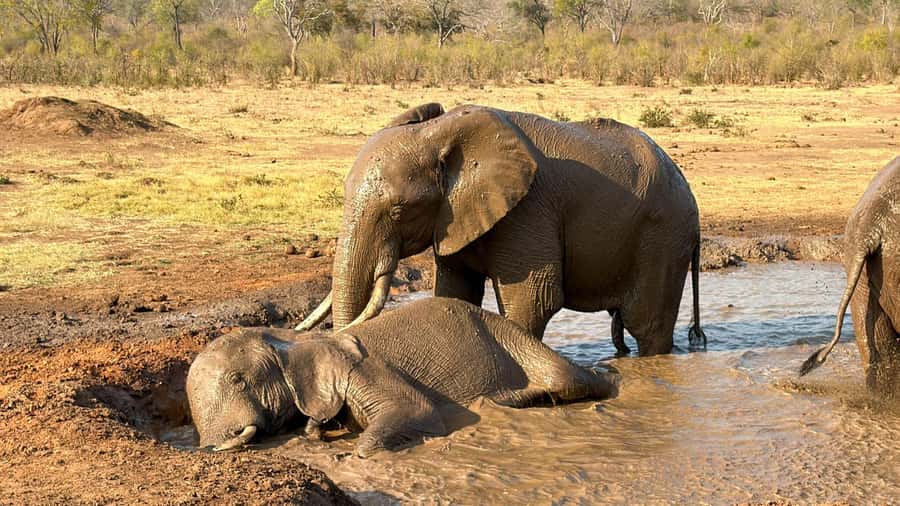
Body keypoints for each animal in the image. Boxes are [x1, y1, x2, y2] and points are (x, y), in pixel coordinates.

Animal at [187, 297, 619, 457]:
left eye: (239, 380)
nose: (209, 448)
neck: (293, 340)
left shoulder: (361, 367)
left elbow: (415, 410)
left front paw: (354, 453)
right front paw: (314, 432)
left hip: (517, 342)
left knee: (570, 379)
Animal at [297, 103, 705, 356]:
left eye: (399, 209)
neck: (438, 133)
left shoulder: (530, 209)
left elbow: (534, 298)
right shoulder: (456, 217)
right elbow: (455, 293)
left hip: (663, 238)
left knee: (646, 325)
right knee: (622, 326)